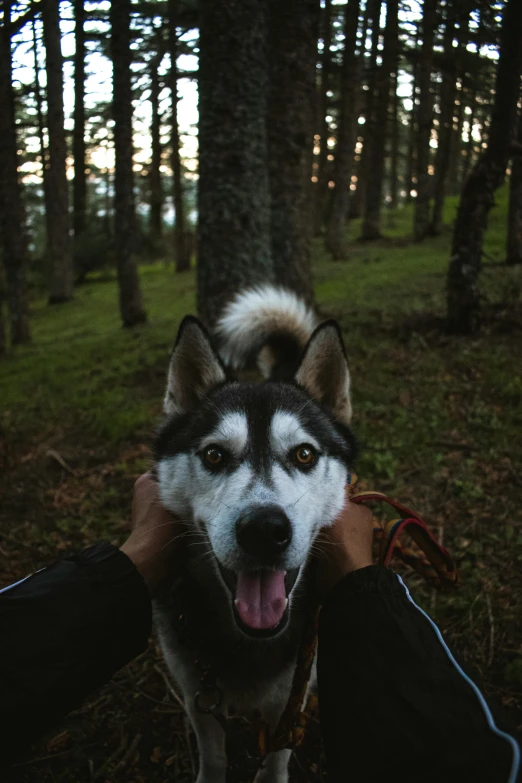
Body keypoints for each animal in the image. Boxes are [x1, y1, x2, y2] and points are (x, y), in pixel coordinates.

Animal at [154, 288, 356, 783]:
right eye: (213, 454)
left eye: (304, 454)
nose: (265, 531)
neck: (248, 643)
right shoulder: (197, 695)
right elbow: (213, 756)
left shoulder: (291, 696)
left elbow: (277, 755)